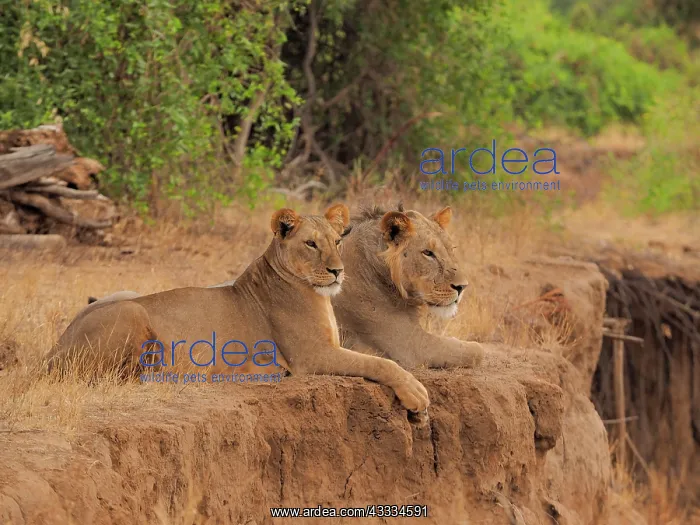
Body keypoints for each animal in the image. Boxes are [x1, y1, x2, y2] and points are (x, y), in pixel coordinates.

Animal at [46, 204, 429, 413]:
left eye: (337, 242)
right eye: (310, 244)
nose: (338, 271)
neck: (313, 291)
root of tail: (53, 351)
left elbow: (379, 354)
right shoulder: (311, 356)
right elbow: (380, 362)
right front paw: (416, 394)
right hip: (132, 312)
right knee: (120, 375)